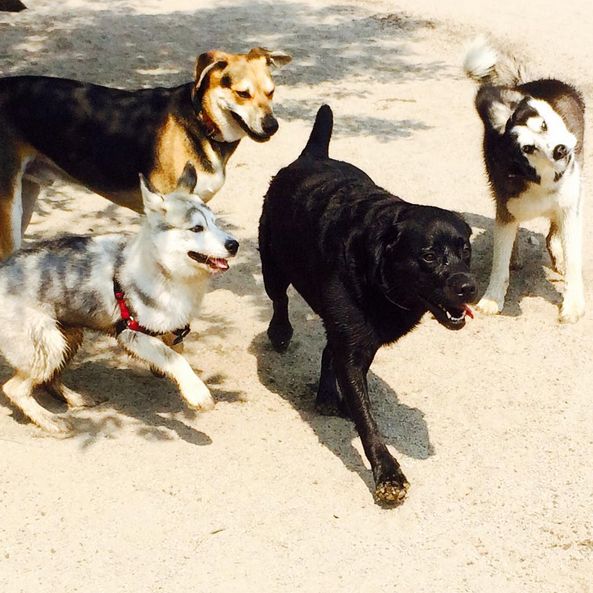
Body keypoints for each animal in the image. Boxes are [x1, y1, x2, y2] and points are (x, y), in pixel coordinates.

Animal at [258, 106, 476, 504]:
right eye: (428, 255)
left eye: (464, 249)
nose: (469, 287)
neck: (379, 272)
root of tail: (312, 156)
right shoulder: (353, 343)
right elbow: (368, 423)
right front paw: (387, 473)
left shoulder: (362, 341)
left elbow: (348, 376)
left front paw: (340, 398)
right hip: (273, 265)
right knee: (279, 300)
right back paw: (280, 332)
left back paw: (327, 396)